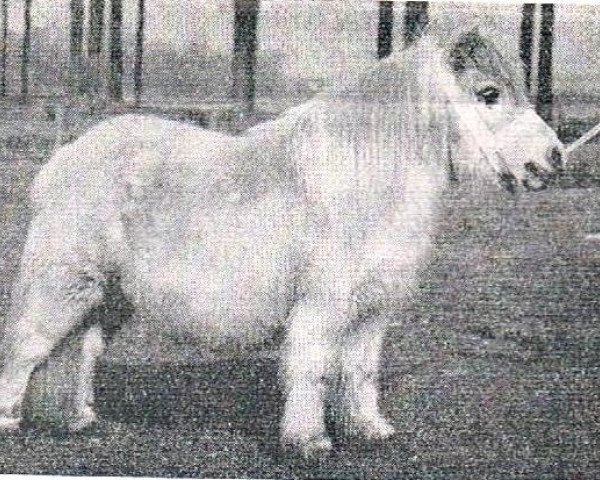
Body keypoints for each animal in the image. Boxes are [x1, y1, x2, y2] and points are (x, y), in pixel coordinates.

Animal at [0, 31, 564, 458]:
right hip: (64, 284)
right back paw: (11, 421)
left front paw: (370, 430)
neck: (363, 179)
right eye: (489, 93)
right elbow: (310, 369)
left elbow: (360, 370)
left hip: (109, 296)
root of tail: (66, 159)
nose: (554, 158)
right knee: (28, 348)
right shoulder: (322, 305)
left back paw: (79, 418)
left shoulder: (372, 310)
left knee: (83, 349)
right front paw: (308, 441)